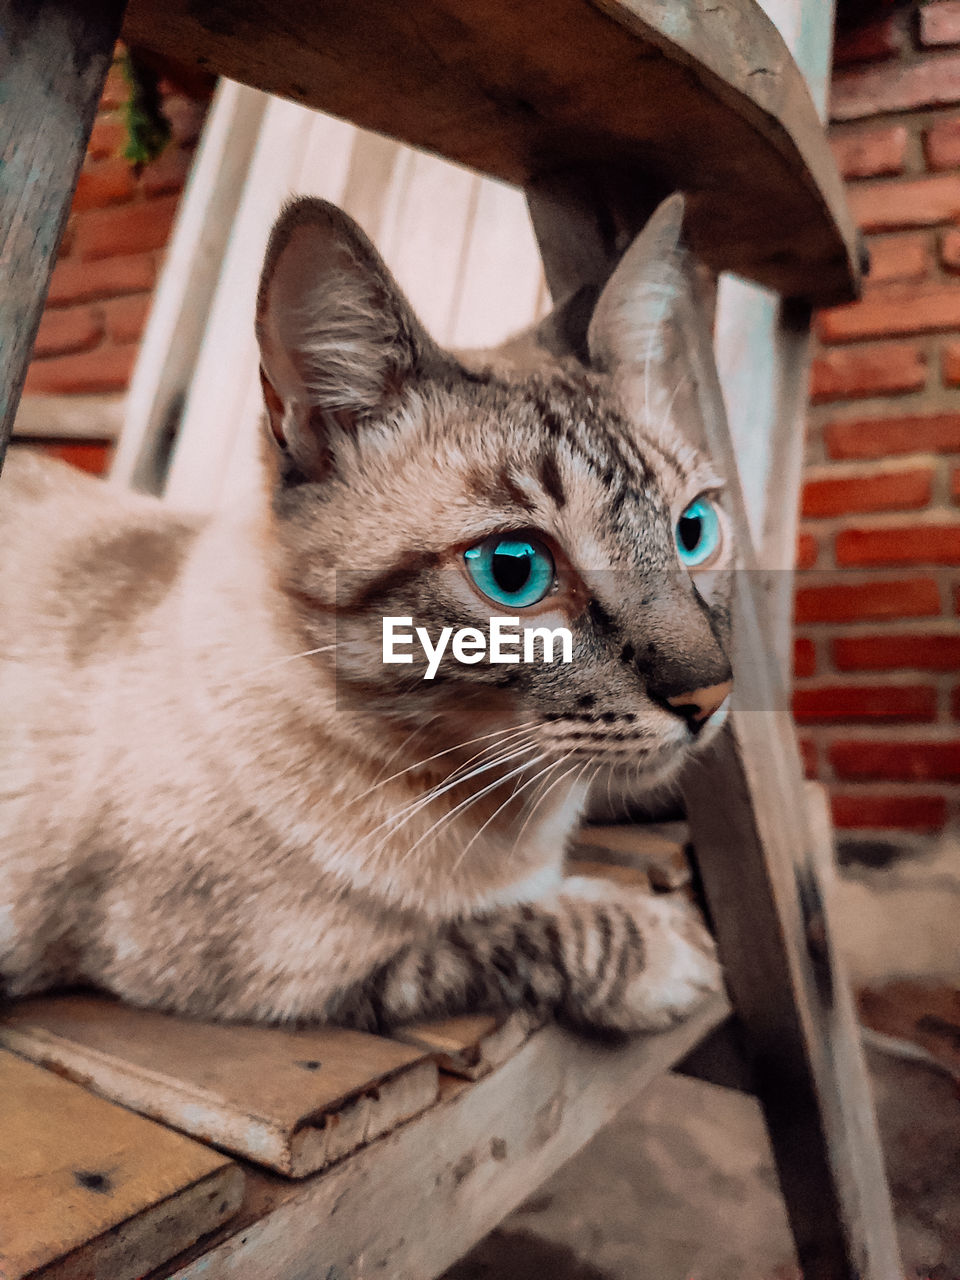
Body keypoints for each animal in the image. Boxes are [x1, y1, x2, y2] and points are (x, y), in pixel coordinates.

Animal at [0, 192, 732, 1039]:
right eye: (514, 570)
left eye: (694, 531)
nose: (711, 696)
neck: (518, 822)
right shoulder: (283, 977)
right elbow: (514, 928)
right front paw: (676, 950)